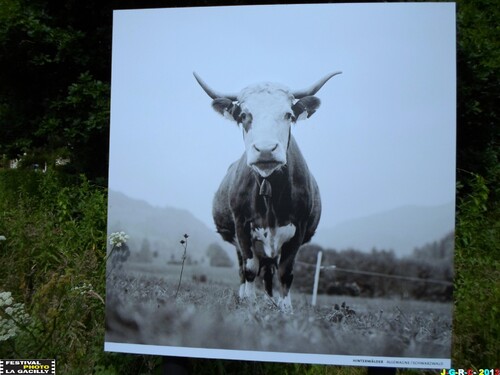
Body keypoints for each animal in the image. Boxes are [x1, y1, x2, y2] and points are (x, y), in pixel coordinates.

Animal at [193, 71, 342, 312]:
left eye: (288, 114)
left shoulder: (298, 229)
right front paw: (249, 304)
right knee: (245, 269)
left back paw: (271, 301)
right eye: (244, 115)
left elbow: (286, 273)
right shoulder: (242, 225)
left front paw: (285, 310)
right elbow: (249, 269)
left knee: (270, 272)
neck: (270, 189)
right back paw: (245, 296)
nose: (265, 149)